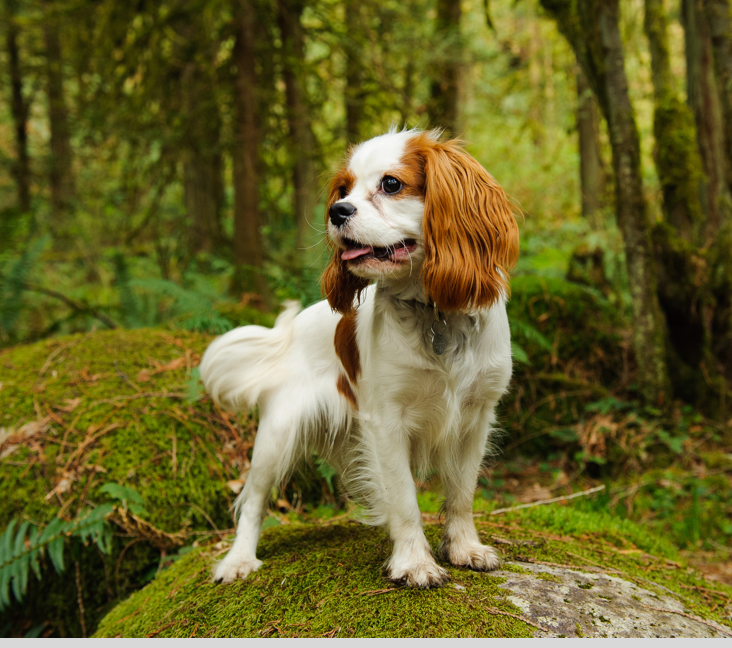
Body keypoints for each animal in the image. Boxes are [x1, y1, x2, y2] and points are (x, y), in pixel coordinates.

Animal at [200, 126, 520, 588]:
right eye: (343, 189)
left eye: (391, 184)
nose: (337, 211)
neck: (434, 313)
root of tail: (290, 333)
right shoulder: (387, 421)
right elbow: (404, 499)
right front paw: (415, 562)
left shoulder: (475, 418)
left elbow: (461, 493)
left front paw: (464, 549)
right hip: (277, 437)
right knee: (254, 500)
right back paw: (238, 560)